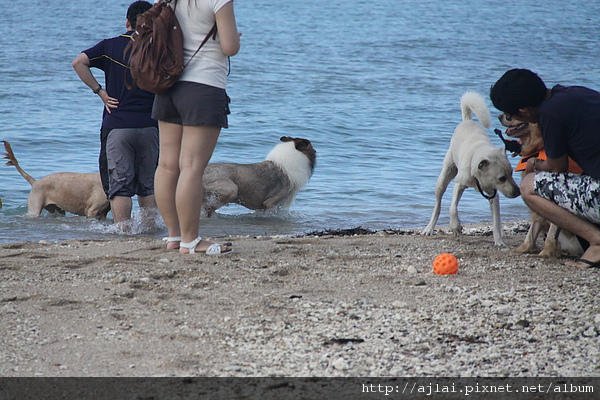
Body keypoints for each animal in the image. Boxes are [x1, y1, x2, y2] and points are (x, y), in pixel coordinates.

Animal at [422, 92, 520, 245]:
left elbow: (496, 221)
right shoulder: (459, 184)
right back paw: (429, 228)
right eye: (502, 178)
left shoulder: (493, 194)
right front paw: (455, 227)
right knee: (438, 205)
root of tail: (467, 120)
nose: (518, 192)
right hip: (444, 177)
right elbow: (452, 208)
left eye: (511, 173)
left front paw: (499, 241)